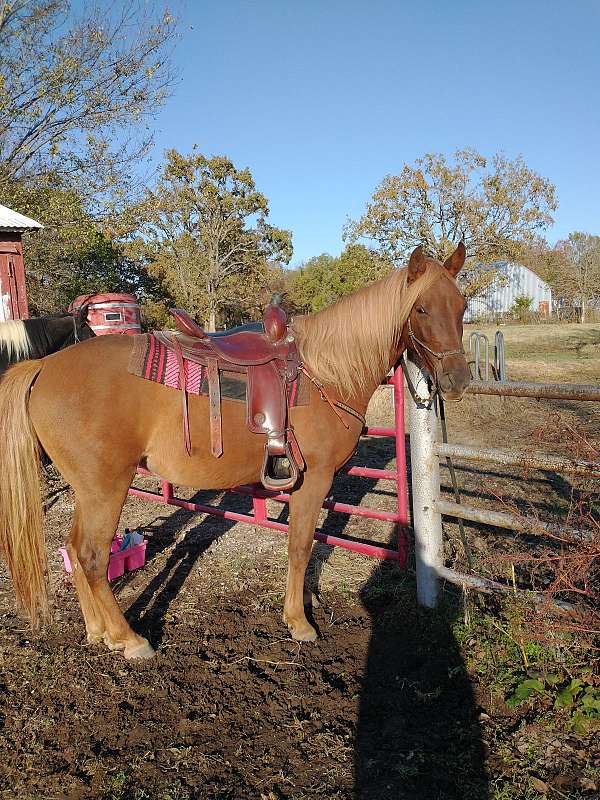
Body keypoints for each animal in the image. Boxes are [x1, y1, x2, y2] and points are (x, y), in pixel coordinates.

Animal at [0, 244, 468, 656]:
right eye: (421, 309)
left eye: (462, 307)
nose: (457, 379)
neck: (325, 371)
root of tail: (43, 367)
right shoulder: (314, 480)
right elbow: (301, 546)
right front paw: (299, 622)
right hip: (105, 487)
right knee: (92, 556)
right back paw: (129, 639)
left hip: (88, 489)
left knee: (75, 550)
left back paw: (99, 632)